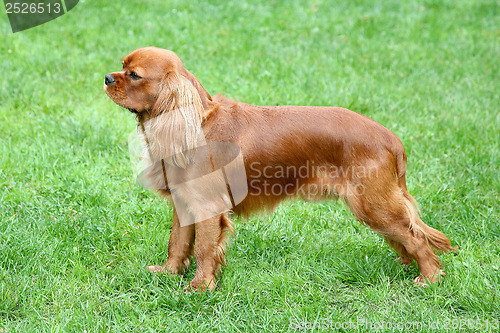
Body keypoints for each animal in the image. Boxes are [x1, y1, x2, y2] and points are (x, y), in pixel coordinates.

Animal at [102, 47, 454, 290]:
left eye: (134, 75)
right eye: (121, 65)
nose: (107, 78)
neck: (196, 123)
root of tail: (392, 139)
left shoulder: (207, 207)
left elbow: (203, 249)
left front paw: (200, 287)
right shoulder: (184, 204)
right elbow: (177, 242)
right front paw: (168, 273)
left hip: (372, 204)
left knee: (417, 238)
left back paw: (429, 278)